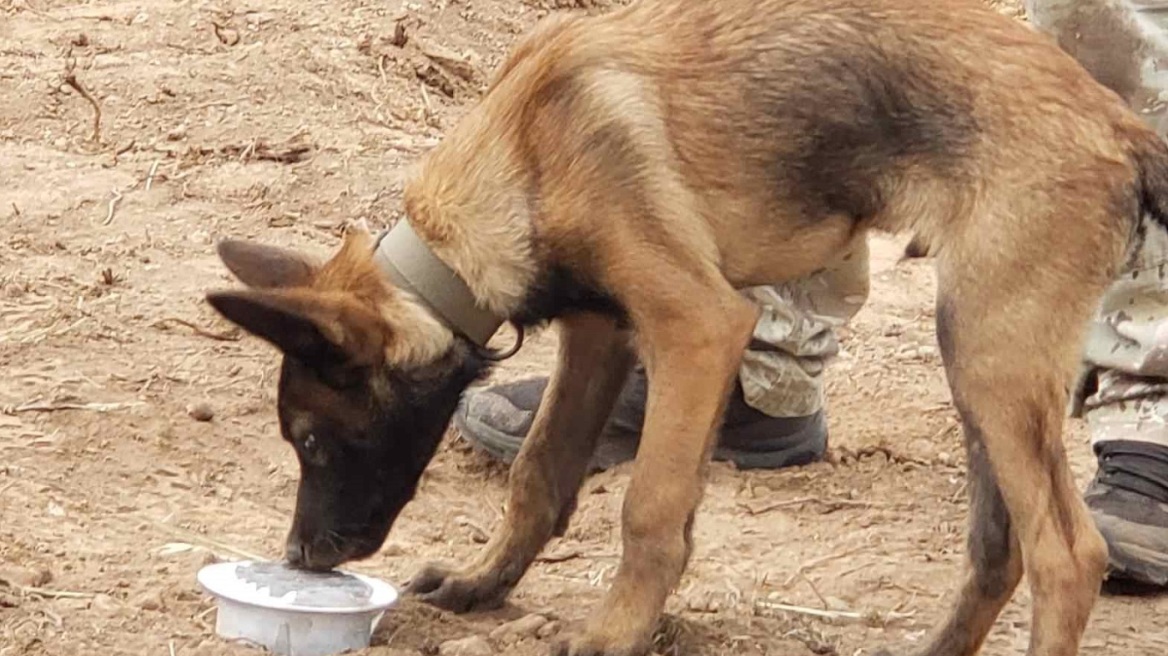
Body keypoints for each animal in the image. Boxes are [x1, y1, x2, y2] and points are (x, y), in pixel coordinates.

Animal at [203, 0, 1168, 648]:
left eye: (313, 440)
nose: (301, 555)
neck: (525, 156)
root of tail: (1118, 121)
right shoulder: (602, 332)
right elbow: (540, 475)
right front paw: (485, 583)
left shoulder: (698, 325)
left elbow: (650, 508)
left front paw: (613, 634)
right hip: (978, 352)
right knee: (999, 548)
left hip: (992, 352)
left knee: (1065, 556)